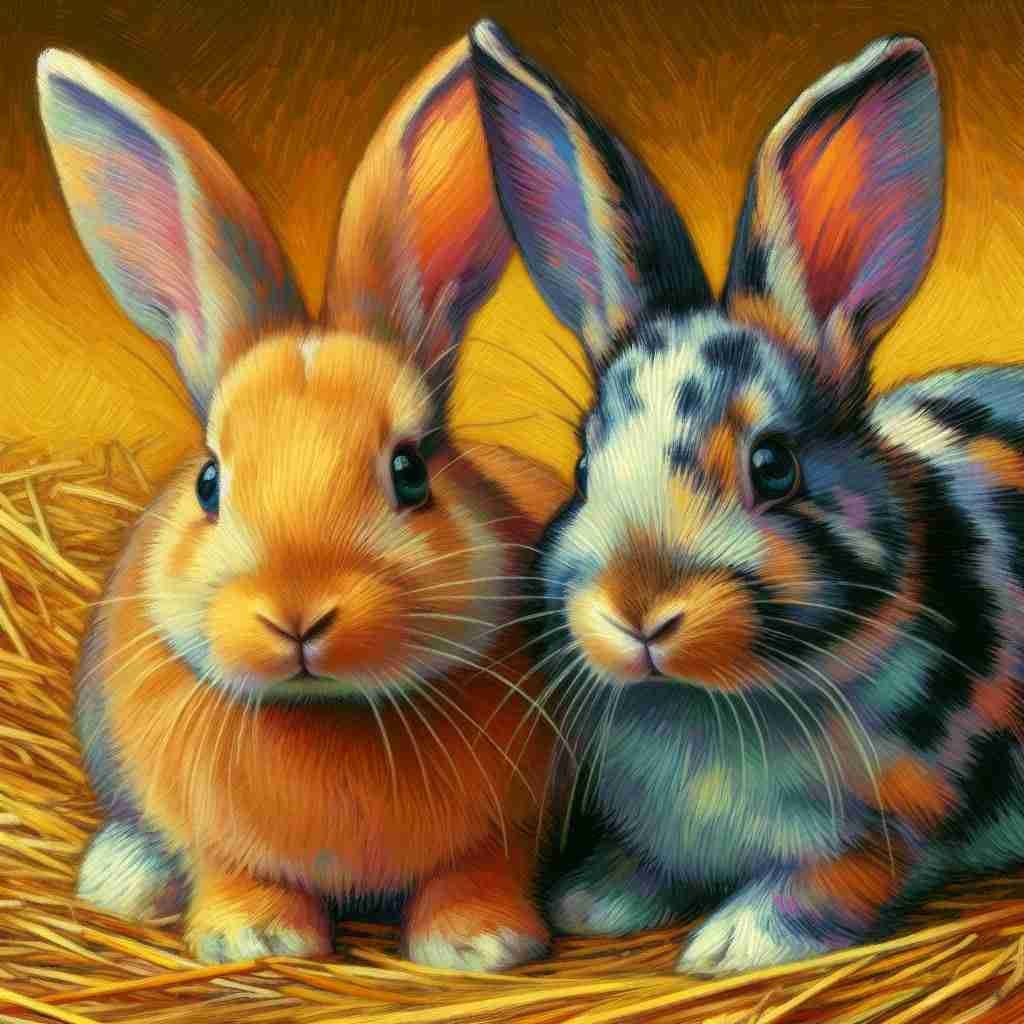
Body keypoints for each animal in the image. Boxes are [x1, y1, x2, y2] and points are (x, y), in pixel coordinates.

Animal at [39, 36, 570, 969]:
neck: (328, 715)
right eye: (210, 481)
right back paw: (122, 876)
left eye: (410, 472)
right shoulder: (211, 835)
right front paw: (254, 938)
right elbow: (232, 870)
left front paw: (481, 943)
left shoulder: (515, 823)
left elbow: (481, 867)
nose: (296, 612)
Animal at [470, 20, 1024, 976]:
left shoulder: (914, 814)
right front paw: (595, 900)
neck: (713, 700)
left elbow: (846, 872)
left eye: (774, 467)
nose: (639, 611)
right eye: (583, 465)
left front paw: (734, 941)